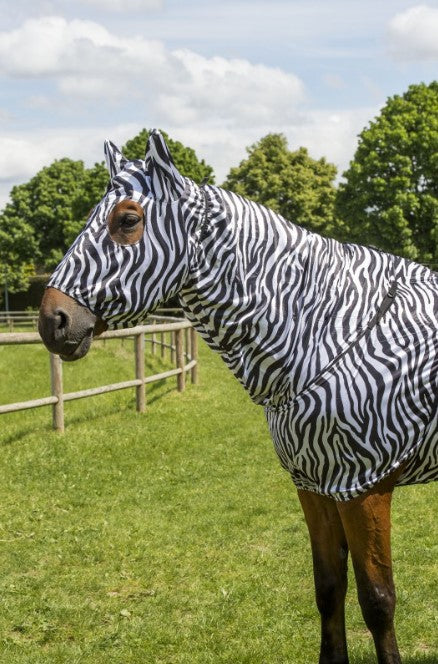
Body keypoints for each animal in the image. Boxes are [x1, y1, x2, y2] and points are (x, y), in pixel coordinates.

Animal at [39, 130, 436, 664]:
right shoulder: (314, 485)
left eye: (128, 220)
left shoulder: (363, 488)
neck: (325, 329)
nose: (52, 320)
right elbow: (329, 588)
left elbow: (377, 601)